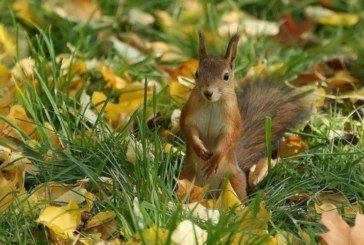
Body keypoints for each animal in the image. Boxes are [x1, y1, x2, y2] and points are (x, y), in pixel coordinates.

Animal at [178, 30, 312, 202]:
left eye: (226, 76)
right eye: (197, 74)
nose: (208, 93)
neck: (211, 104)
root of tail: (210, 194)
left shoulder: (232, 119)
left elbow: (230, 137)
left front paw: (215, 158)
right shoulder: (189, 112)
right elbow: (188, 129)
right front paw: (199, 148)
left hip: (234, 180)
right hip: (187, 176)